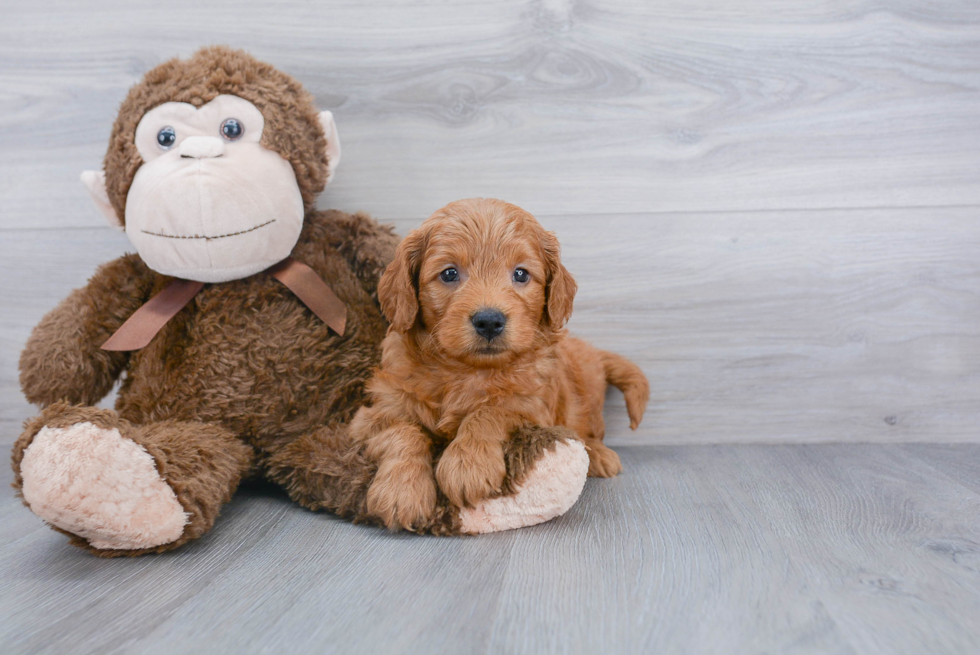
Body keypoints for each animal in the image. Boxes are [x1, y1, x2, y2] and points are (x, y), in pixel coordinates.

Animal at [352, 197, 652, 532]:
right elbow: (403, 431)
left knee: (590, 430)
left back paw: (599, 455)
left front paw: (467, 464)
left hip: (586, 395)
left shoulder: (532, 405)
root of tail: (590, 349)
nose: (489, 321)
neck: (465, 371)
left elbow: (490, 410)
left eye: (521, 274)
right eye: (449, 274)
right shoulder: (373, 415)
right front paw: (401, 491)